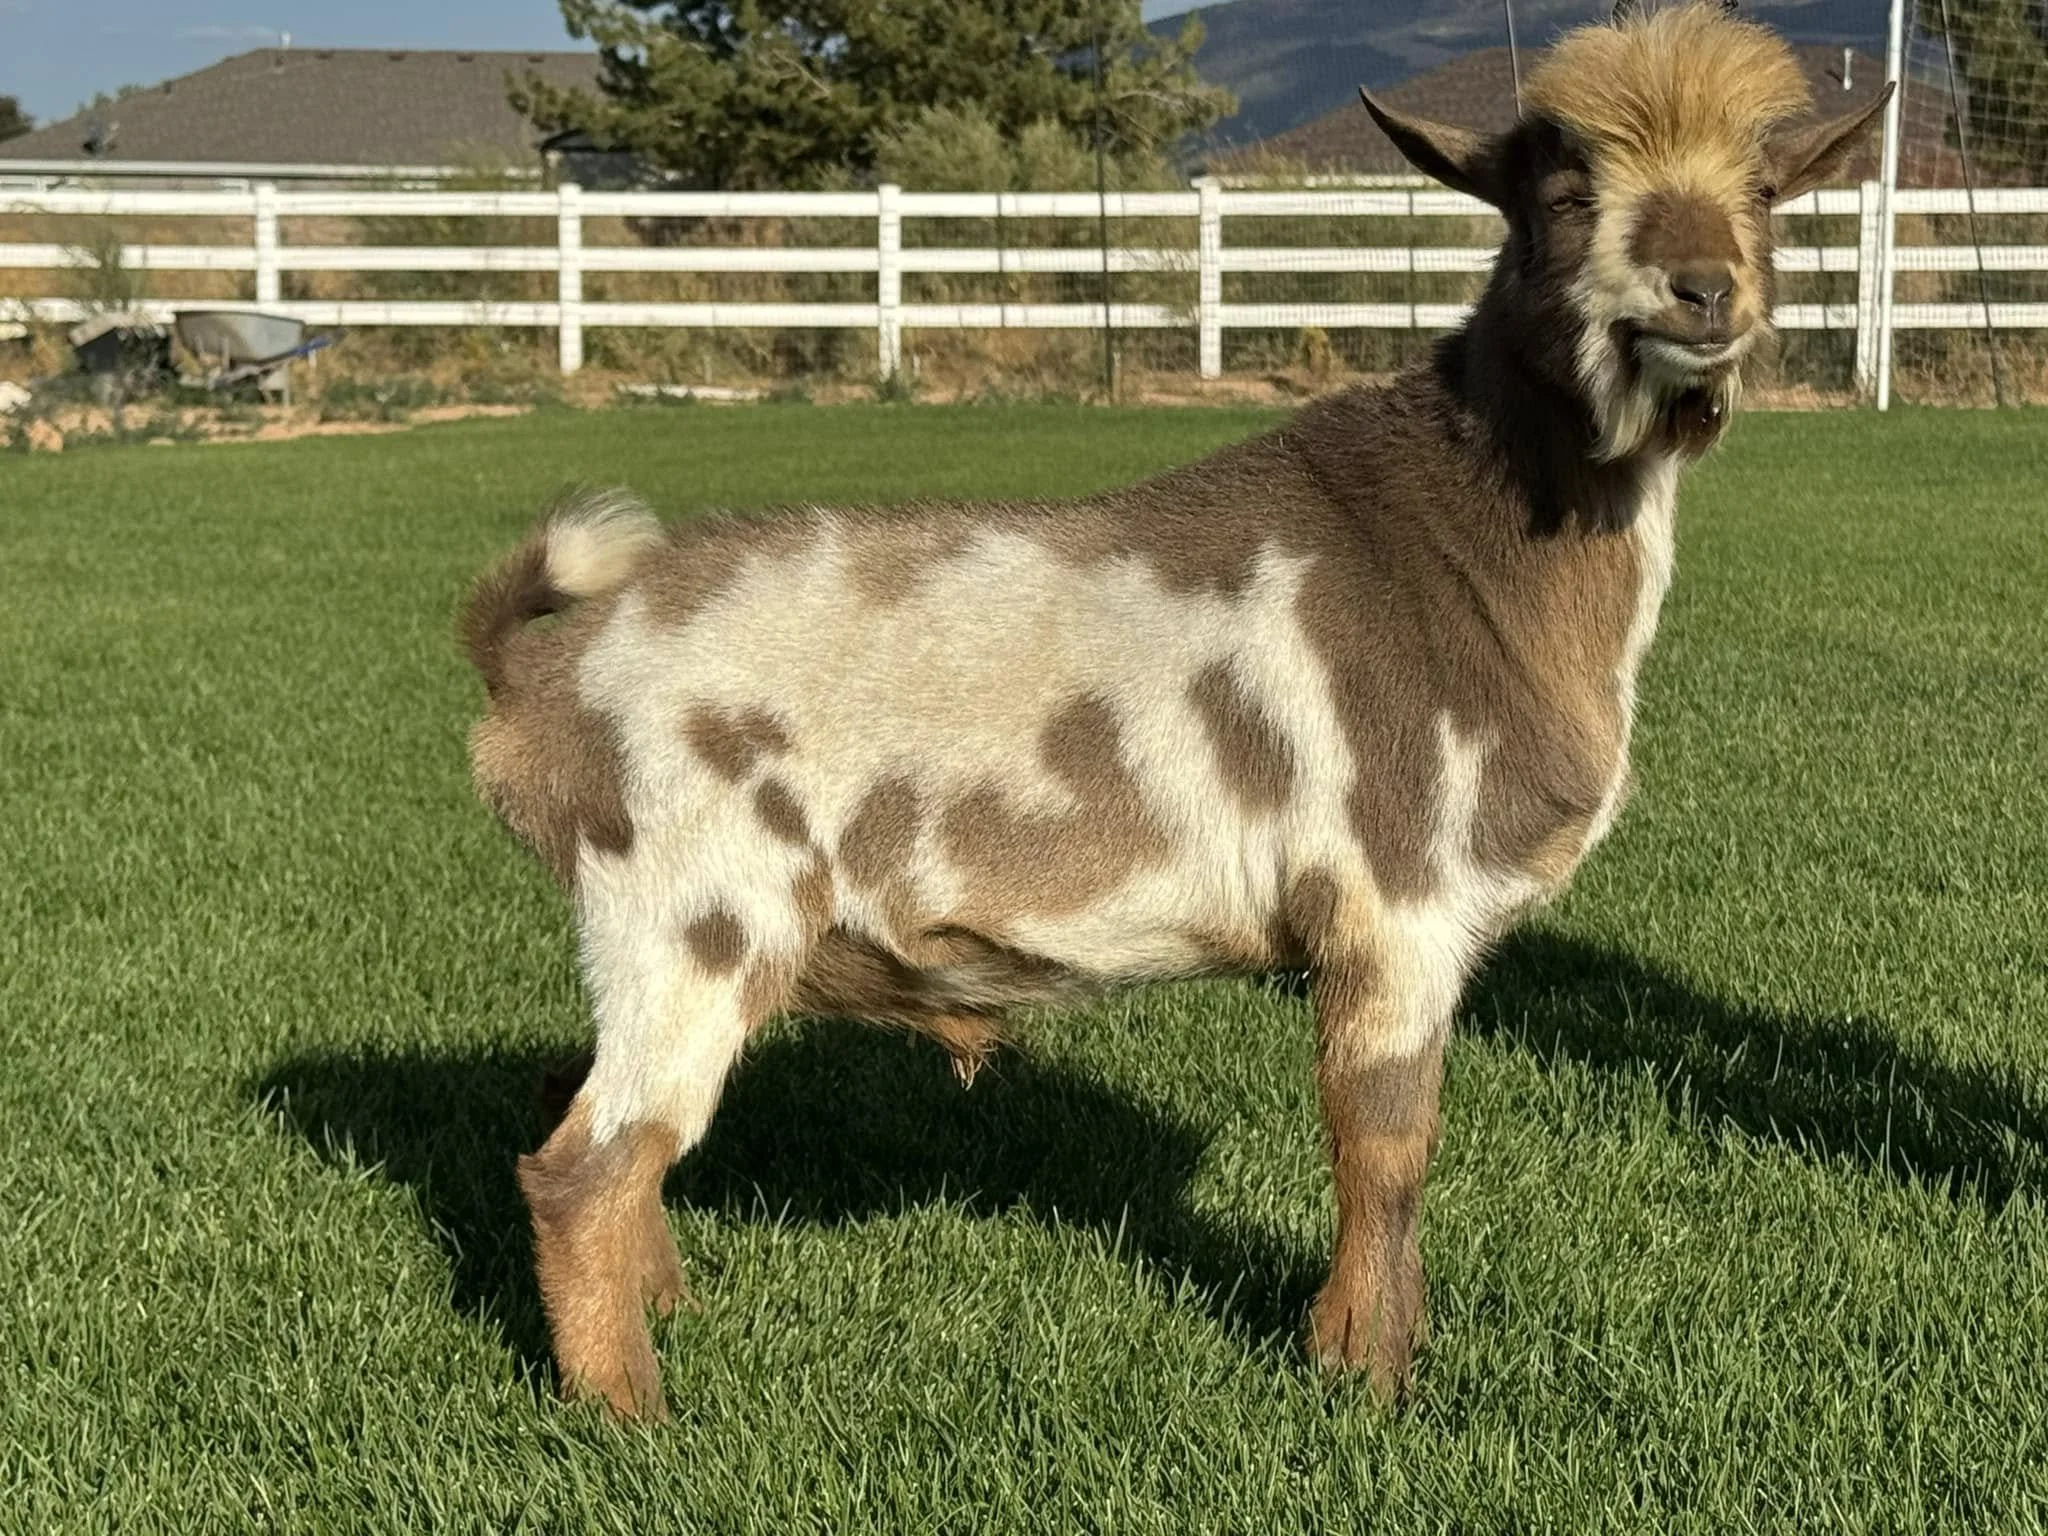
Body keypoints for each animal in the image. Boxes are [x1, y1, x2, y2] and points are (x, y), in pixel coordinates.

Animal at [460, 2, 1889, 1418]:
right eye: (1561, 189)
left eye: (1764, 190)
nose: (1702, 288)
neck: (1466, 540)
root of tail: (534, 683)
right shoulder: (1395, 904)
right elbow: (1384, 1140)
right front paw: (1363, 1377)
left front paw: (1384, 1352)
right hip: (691, 910)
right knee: (583, 1164)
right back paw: (630, 1417)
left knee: (581, 1115)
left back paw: (665, 1315)